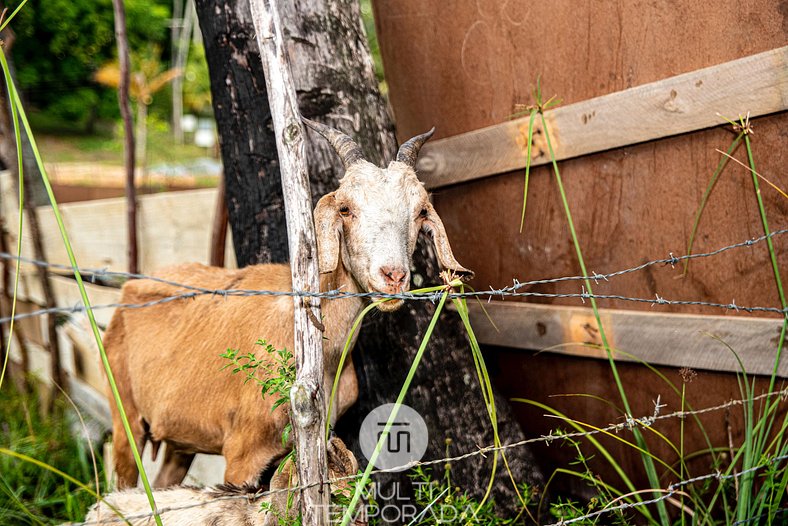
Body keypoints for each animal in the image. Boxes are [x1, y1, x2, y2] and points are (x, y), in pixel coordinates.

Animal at [103, 119, 474, 490]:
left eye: (421, 211)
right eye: (345, 208)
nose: (393, 276)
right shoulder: (241, 455)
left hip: (179, 440)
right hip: (125, 417)